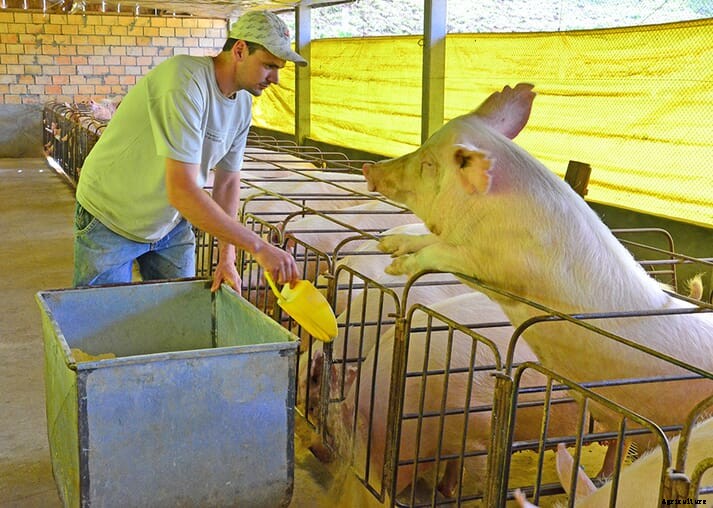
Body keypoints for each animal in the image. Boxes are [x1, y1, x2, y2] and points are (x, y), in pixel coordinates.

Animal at [361, 82, 713, 476]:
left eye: (428, 164)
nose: (369, 166)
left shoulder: (500, 271)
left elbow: (440, 253)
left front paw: (397, 265)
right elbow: (426, 238)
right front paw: (388, 242)